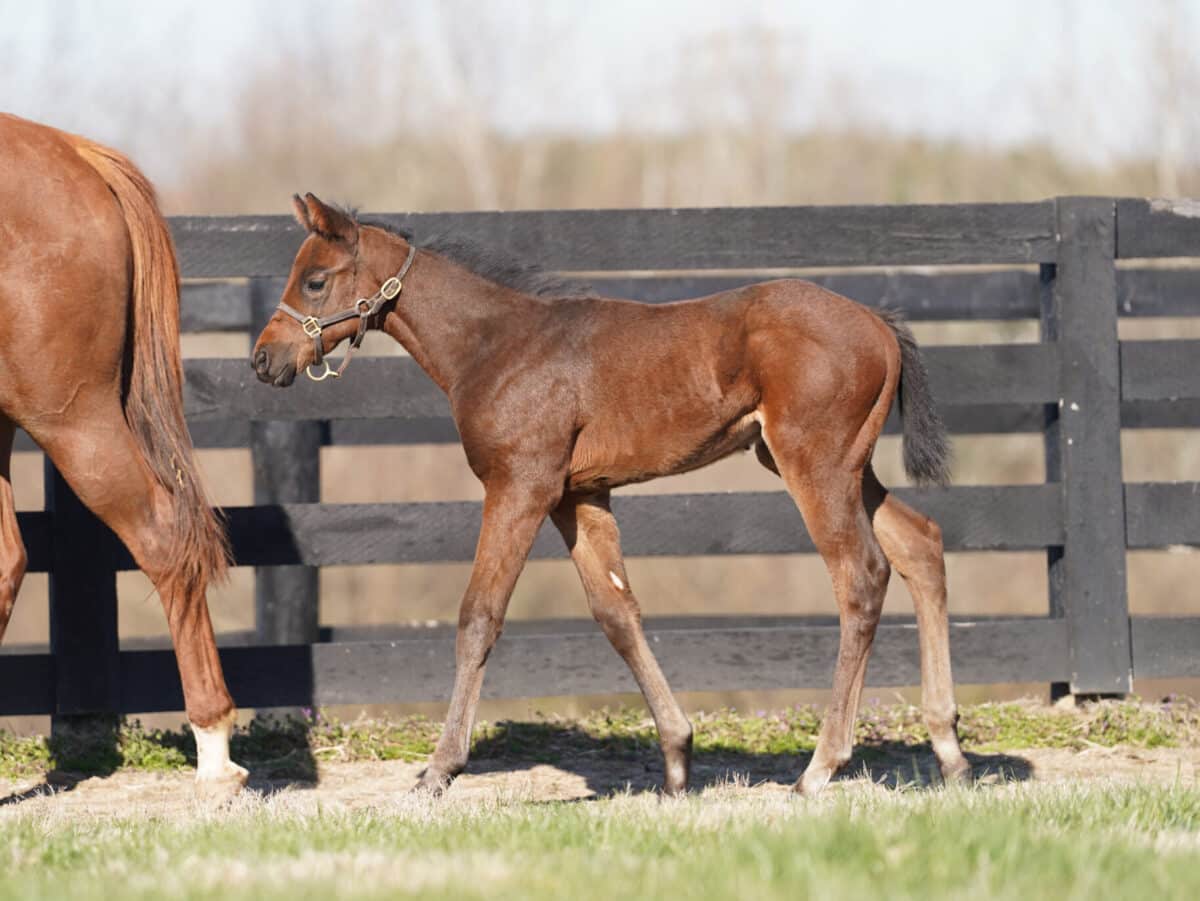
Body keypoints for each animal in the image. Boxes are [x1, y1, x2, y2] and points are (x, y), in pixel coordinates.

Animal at [255, 195, 974, 796]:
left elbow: (479, 615)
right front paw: (678, 759)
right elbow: (616, 612)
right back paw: (949, 749)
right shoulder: (579, 494)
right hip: (841, 465)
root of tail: (878, 321)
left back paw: (822, 765)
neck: (496, 344)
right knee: (920, 543)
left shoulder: (520, 484)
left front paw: (440, 769)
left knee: (861, 574)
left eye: (314, 280)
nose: (264, 360)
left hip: (814, 463)